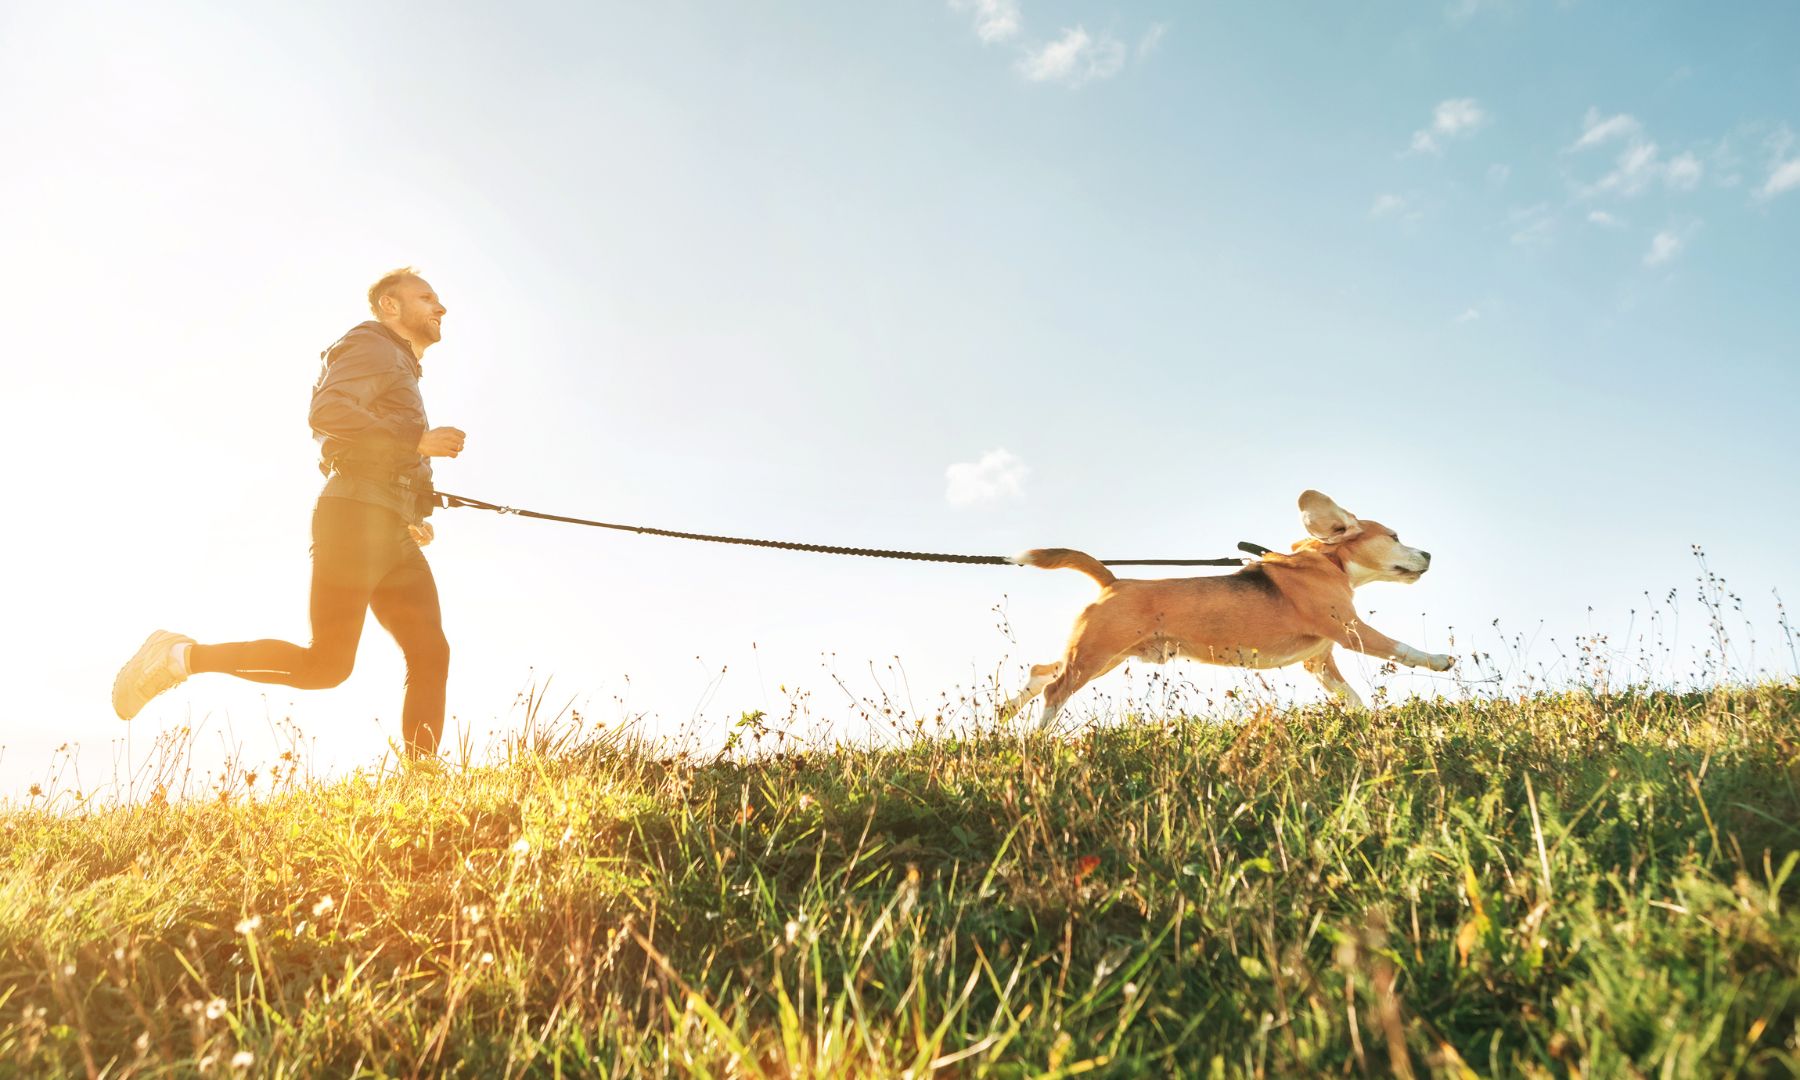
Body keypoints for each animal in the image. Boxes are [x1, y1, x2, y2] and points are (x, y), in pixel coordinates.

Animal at [1008, 489, 1454, 727]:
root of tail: (1112, 581)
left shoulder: (1319, 662)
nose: (1430, 554)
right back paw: (1038, 739)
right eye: (1394, 537)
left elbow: (1351, 696)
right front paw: (1439, 660)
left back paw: (1006, 713)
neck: (1329, 561)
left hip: (1103, 655)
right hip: (1098, 653)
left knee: (1042, 672)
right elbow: (1401, 648)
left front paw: (1366, 720)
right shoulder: (1351, 630)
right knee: (1055, 689)